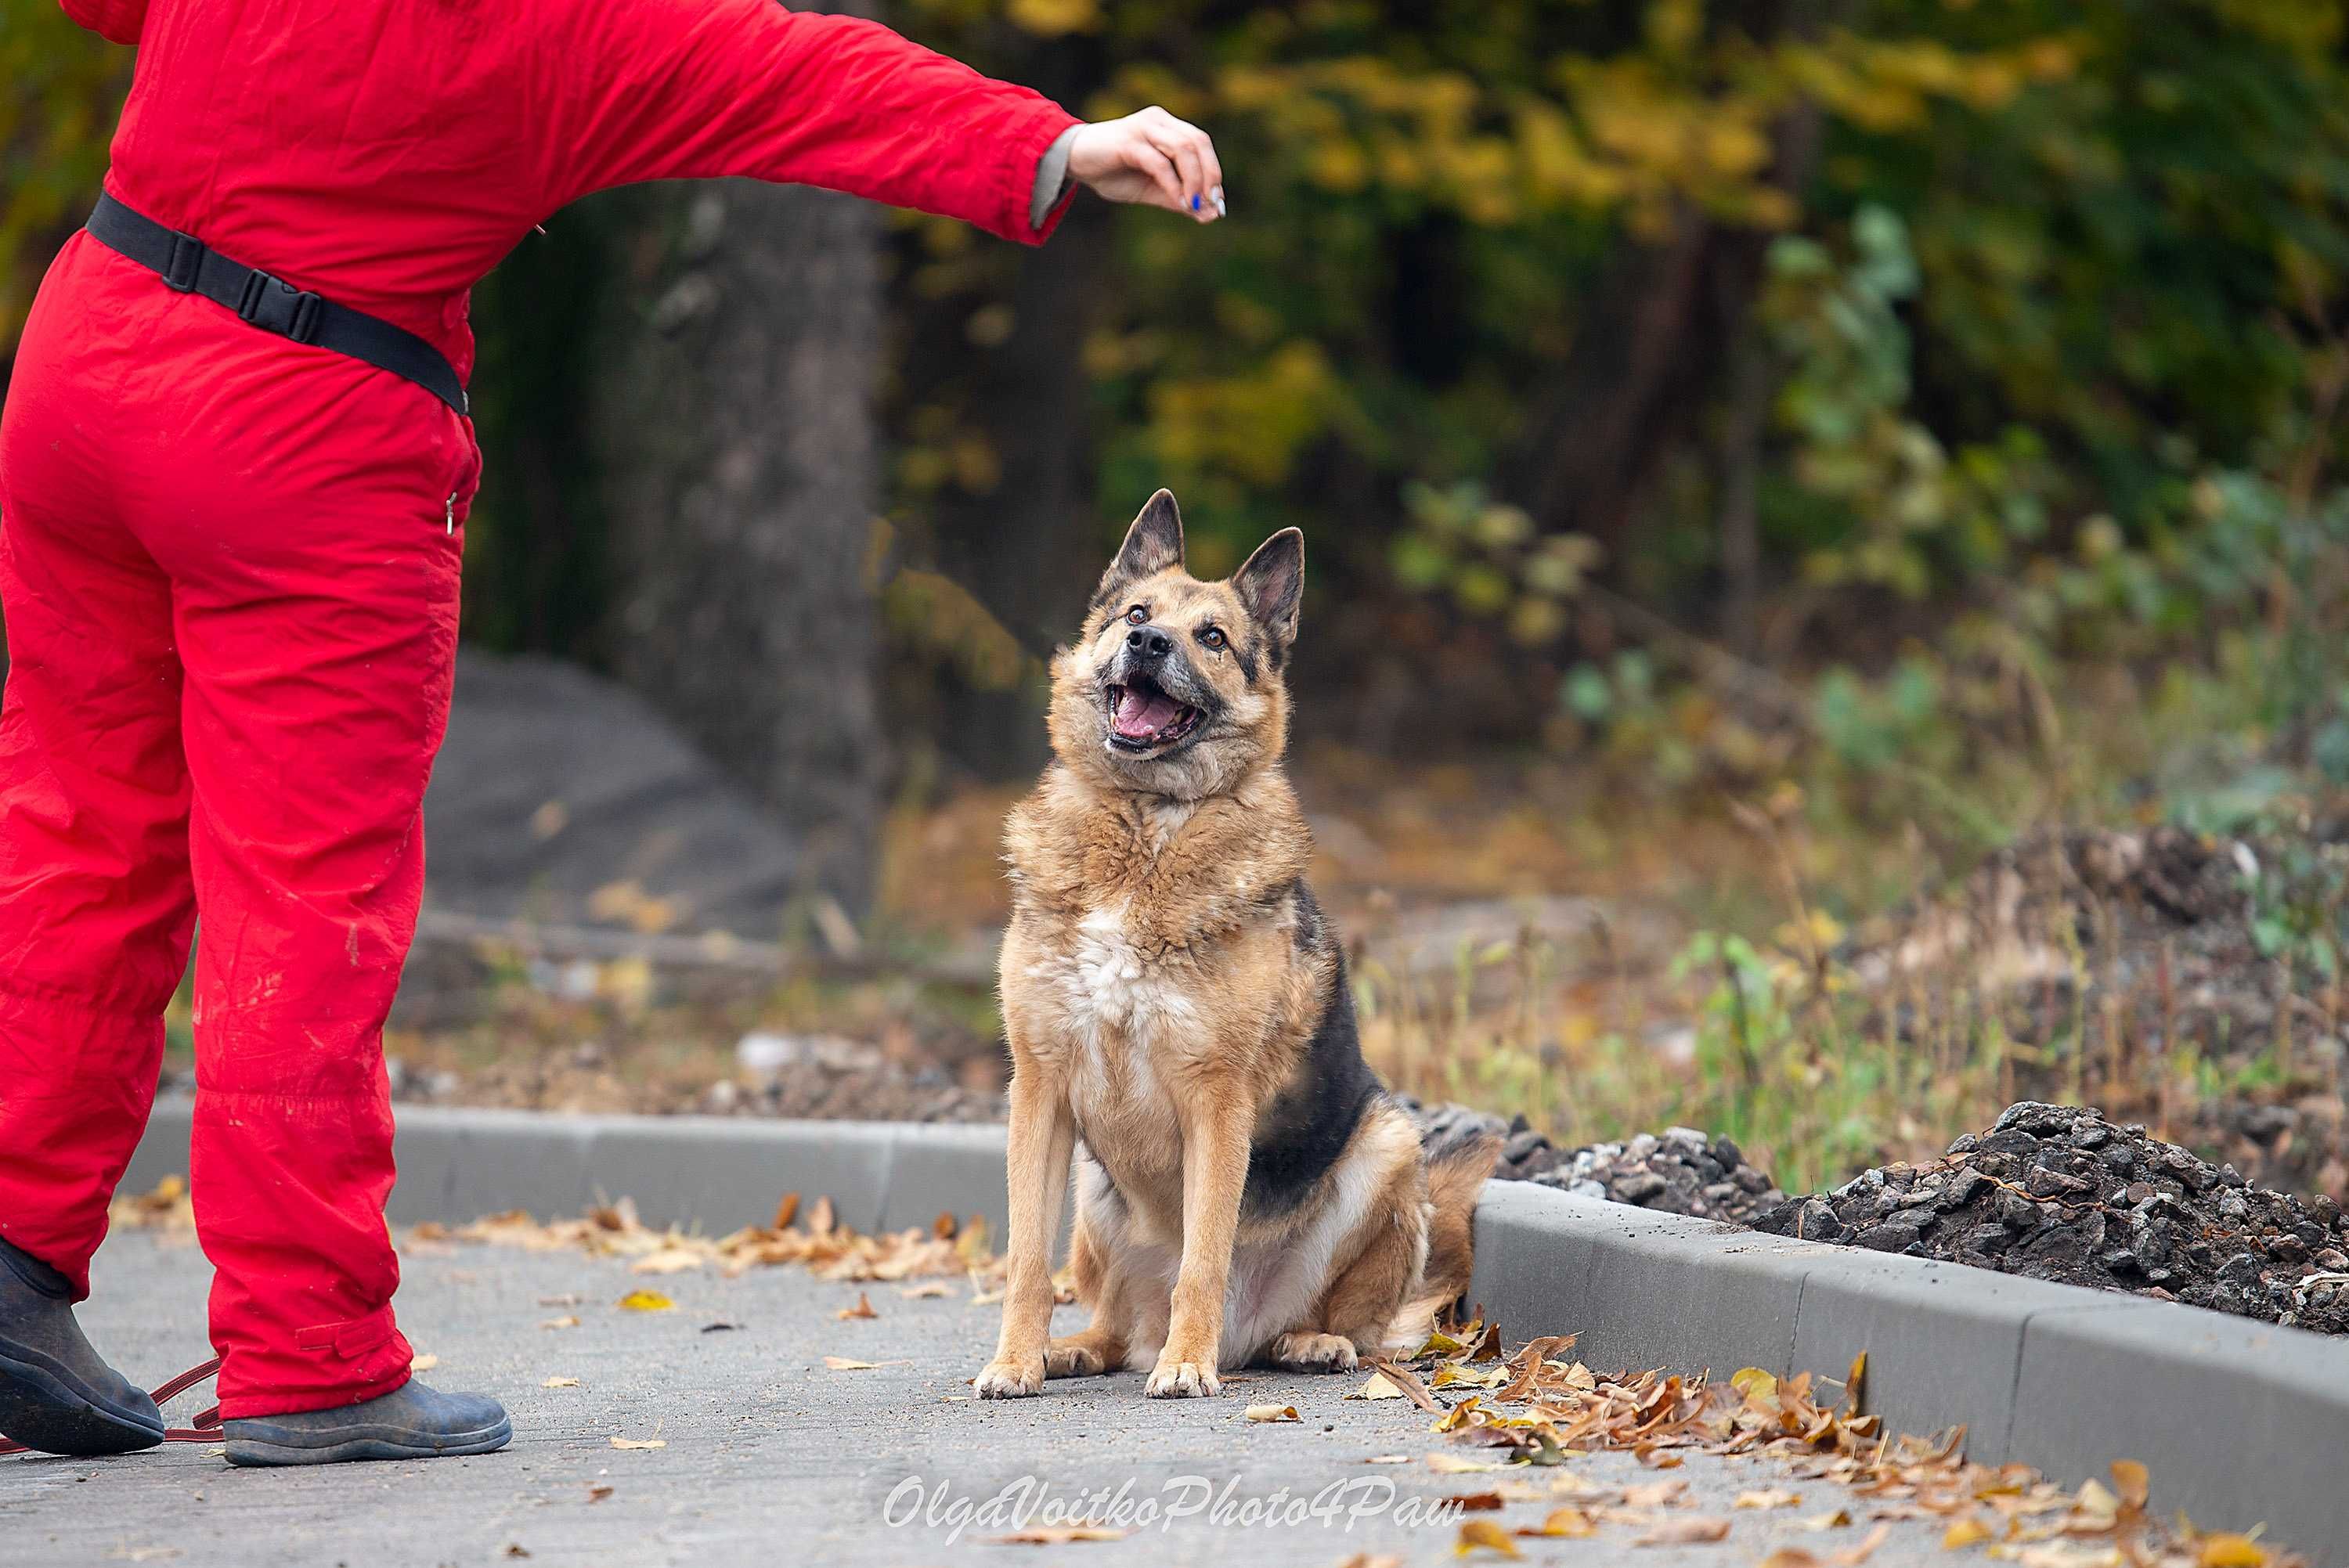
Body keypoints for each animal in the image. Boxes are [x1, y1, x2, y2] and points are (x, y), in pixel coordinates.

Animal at [977, 490, 1494, 1399]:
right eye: (1137, 615)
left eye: (1212, 637)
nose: (1149, 644)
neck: (1146, 831)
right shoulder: (1039, 1092)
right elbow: (1026, 1262)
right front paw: (1015, 1359)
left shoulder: (1215, 1101)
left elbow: (1205, 1254)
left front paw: (1187, 1366)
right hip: (1091, 1191)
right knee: (1111, 1318)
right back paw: (1079, 1347)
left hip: (1388, 1148)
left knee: (1348, 1324)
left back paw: (1297, 1342)